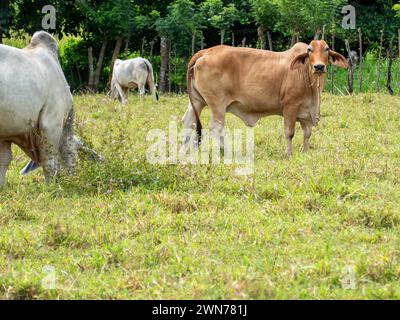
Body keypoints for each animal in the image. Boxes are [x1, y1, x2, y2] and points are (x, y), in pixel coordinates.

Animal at [0, 31, 77, 186]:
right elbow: (50, 160)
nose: (75, 177)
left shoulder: (5, 133)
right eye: (75, 153)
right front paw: (51, 187)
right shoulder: (51, 122)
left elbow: (4, 160)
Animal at [181, 40, 346, 156]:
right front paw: (288, 153)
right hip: (217, 104)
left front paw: (305, 152)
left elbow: (307, 133)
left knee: (188, 122)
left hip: (197, 101)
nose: (319, 67)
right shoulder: (290, 106)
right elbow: (289, 132)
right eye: (309, 50)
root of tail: (205, 51)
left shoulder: (306, 112)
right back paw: (224, 152)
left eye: (327, 49)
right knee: (216, 128)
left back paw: (183, 152)